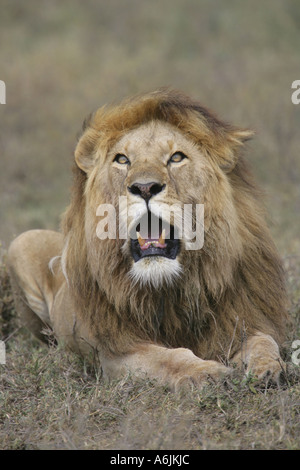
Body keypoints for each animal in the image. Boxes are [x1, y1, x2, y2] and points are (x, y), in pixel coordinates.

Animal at [7, 88, 288, 390]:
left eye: (176, 157)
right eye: (122, 160)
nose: (144, 187)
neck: (170, 288)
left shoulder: (244, 318)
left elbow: (263, 342)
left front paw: (267, 368)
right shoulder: (117, 352)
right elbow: (168, 358)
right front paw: (206, 373)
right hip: (21, 244)